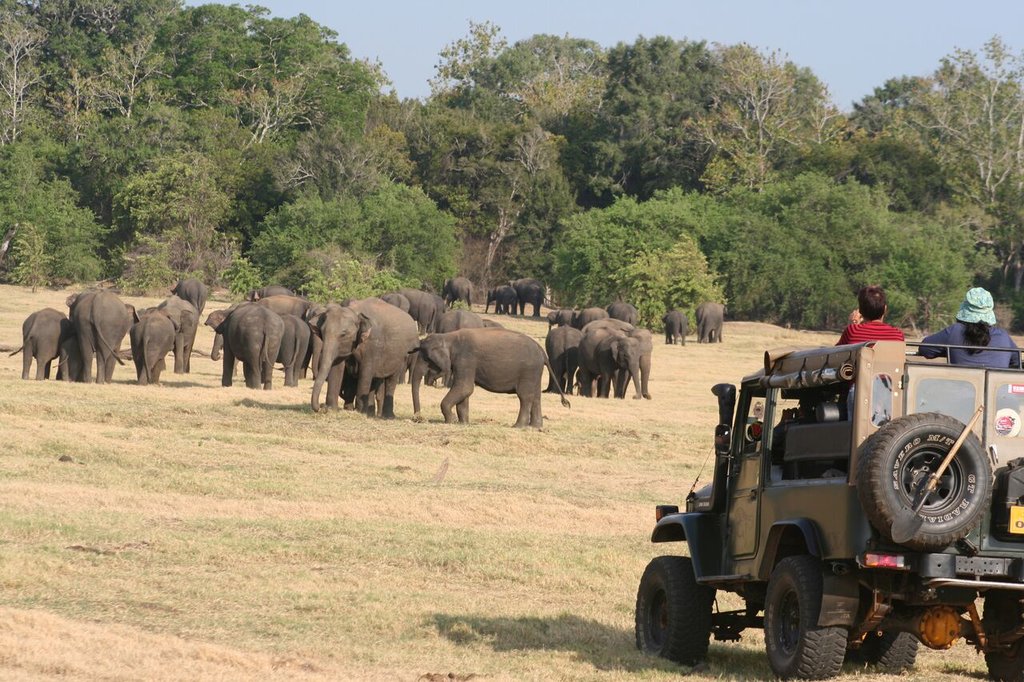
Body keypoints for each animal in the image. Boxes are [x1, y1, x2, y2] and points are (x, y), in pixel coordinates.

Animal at [407, 325, 569, 425]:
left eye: (426, 358)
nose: (418, 418)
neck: (449, 337)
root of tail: (542, 352)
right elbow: (464, 391)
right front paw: (463, 423)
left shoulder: (466, 359)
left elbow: (465, 388)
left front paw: (451, 421)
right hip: (535, 372)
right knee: (536, 396)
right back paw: (535, 427)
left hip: (528, 371)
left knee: (525, 396)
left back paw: (518, 426)